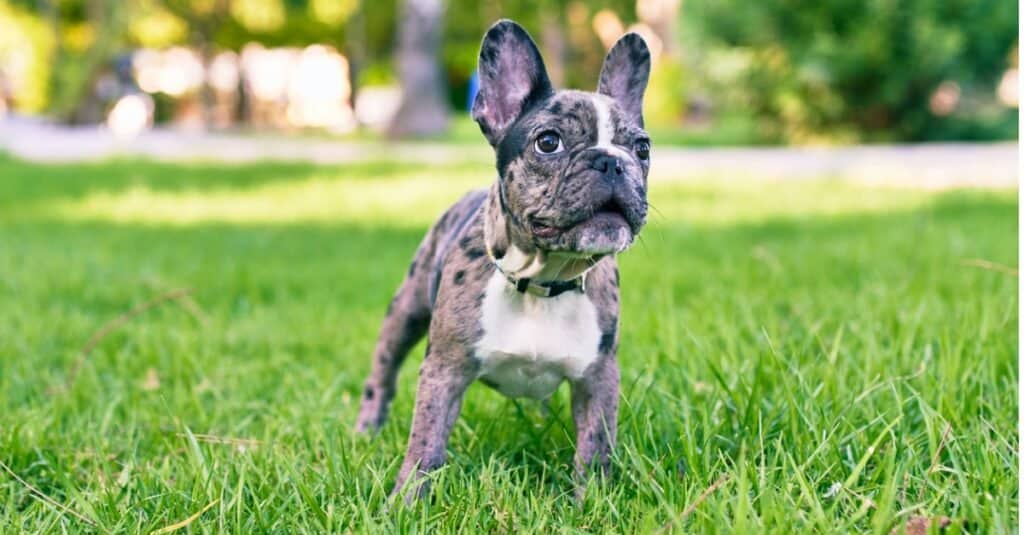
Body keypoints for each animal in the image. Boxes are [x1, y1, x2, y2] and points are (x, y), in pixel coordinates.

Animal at [356, 17, 651, 500]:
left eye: (642, 149)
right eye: (548, 143)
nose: (612, 161)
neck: (543, 281)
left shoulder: (598, 376)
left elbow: (595, 446)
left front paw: (592, 501)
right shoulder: (444, 371)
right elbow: (426, 442)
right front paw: (407, 502)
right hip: (406, 310)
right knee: (382, 373)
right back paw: (366, 430)